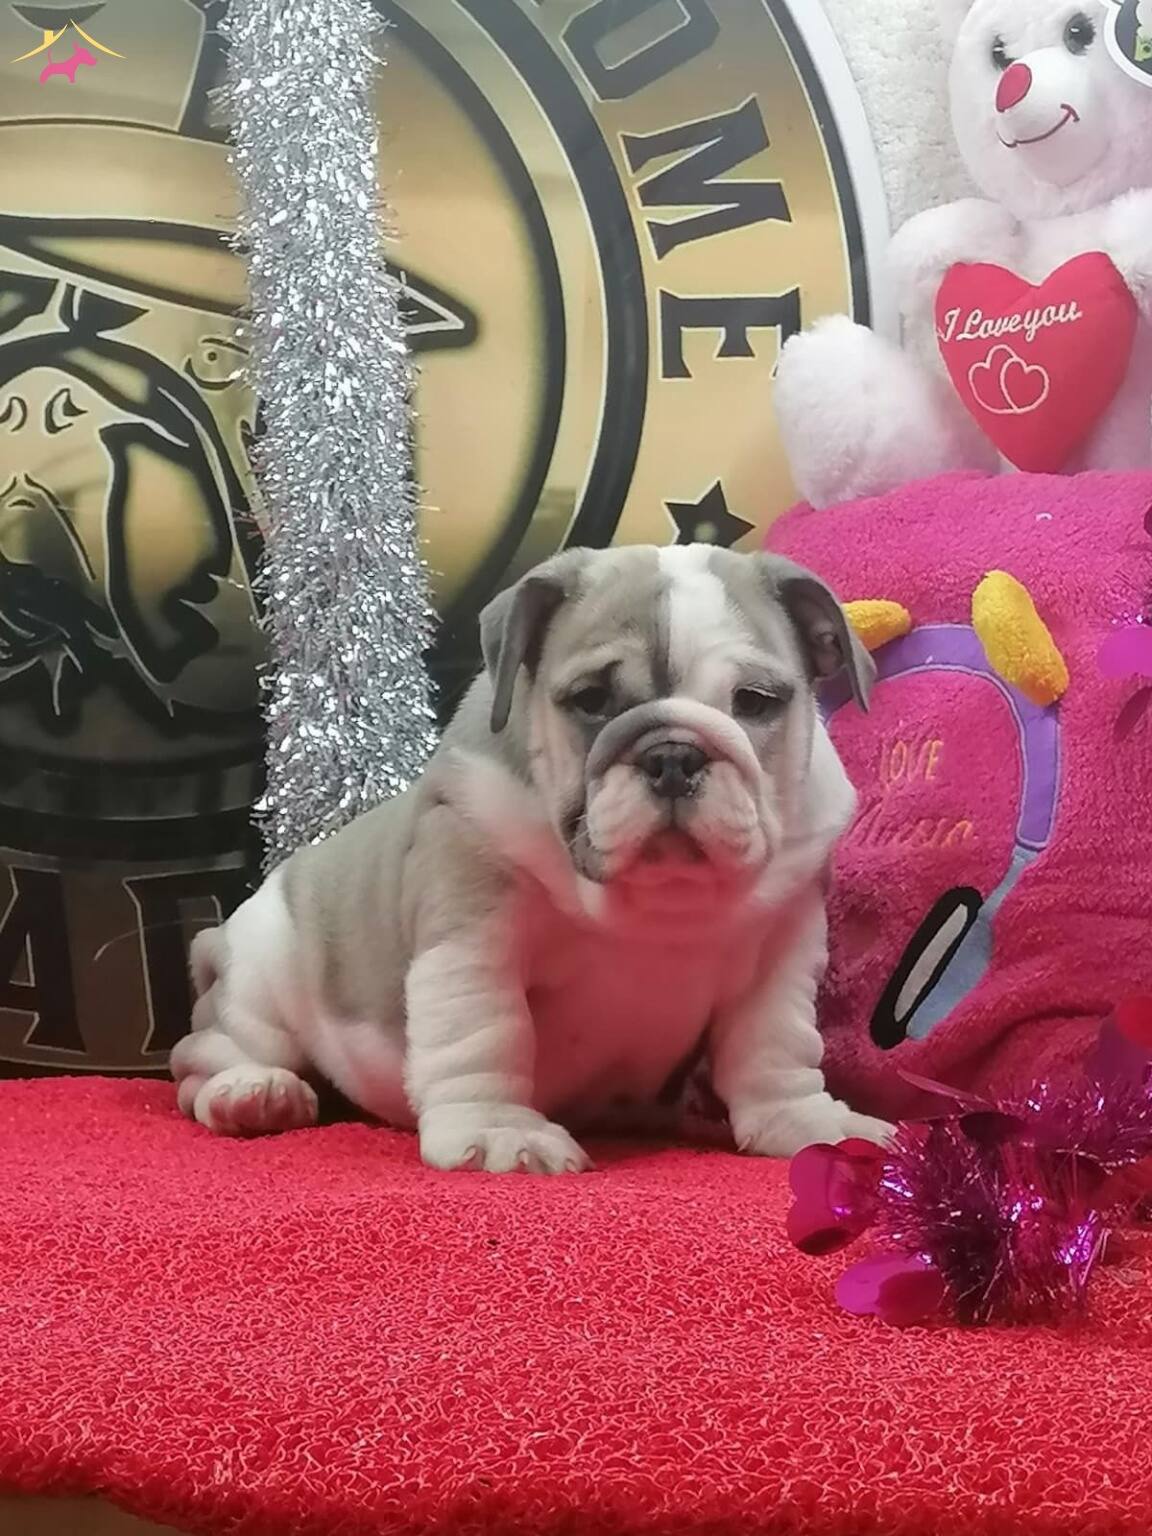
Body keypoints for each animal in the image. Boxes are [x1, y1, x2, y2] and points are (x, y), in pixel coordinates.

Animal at [171, 545, 890, 1171]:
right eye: (592, 700)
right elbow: (485, 1030)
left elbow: (775, 1044)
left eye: (755, 702)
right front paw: (498, 1129)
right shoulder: (474, 934)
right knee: (204, 1054)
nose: (673, 755)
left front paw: (805, 1119)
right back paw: (253, 1094)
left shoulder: (783, 950)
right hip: (263, 976)